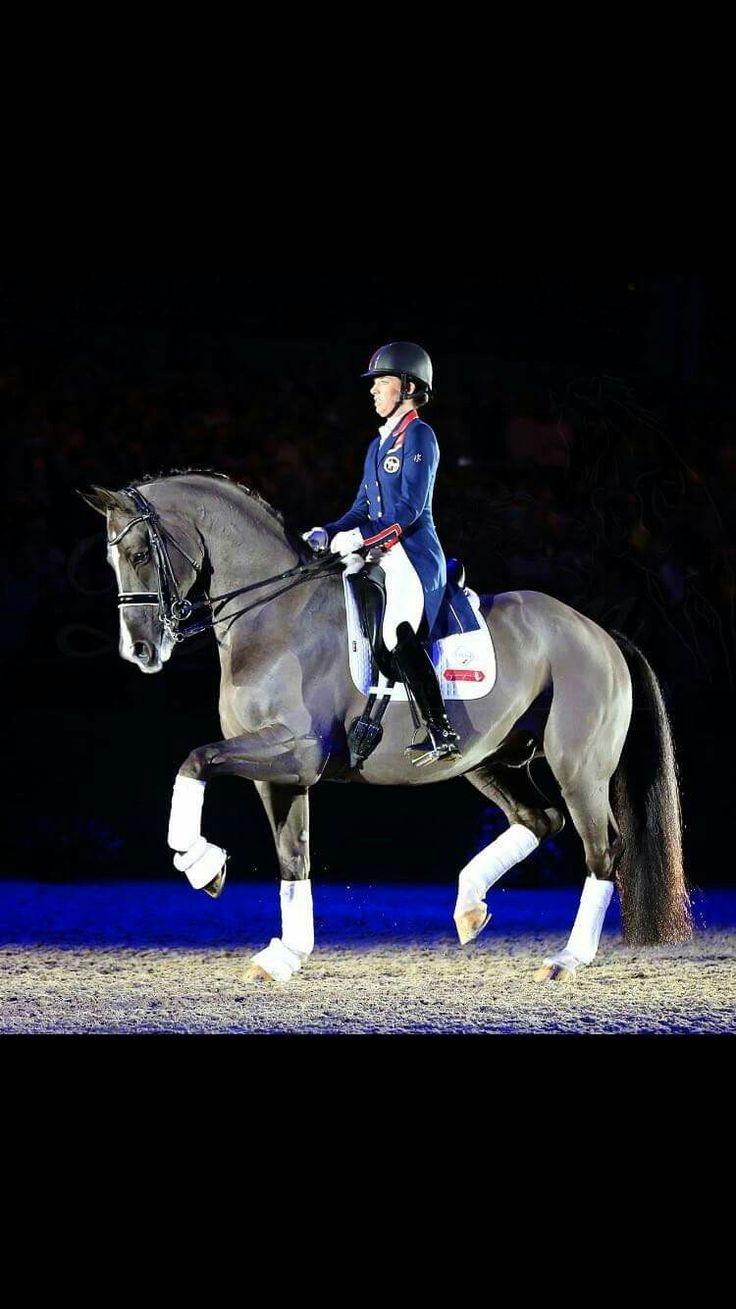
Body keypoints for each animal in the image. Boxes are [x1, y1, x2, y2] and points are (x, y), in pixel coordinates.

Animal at [78, 468, 692, 984]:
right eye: (112, 562)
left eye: (138, 553)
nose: (139, 651)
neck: (274, 615)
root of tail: (600, 632)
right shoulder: (278, 772)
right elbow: (293, 855)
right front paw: (286, 954)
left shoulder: (297, 751)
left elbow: (195, 760)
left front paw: (199, 863)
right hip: (487, 760)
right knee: (540, 820)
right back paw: (469, 907)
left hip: (578, 768)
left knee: (602, 848)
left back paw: (566, 959)